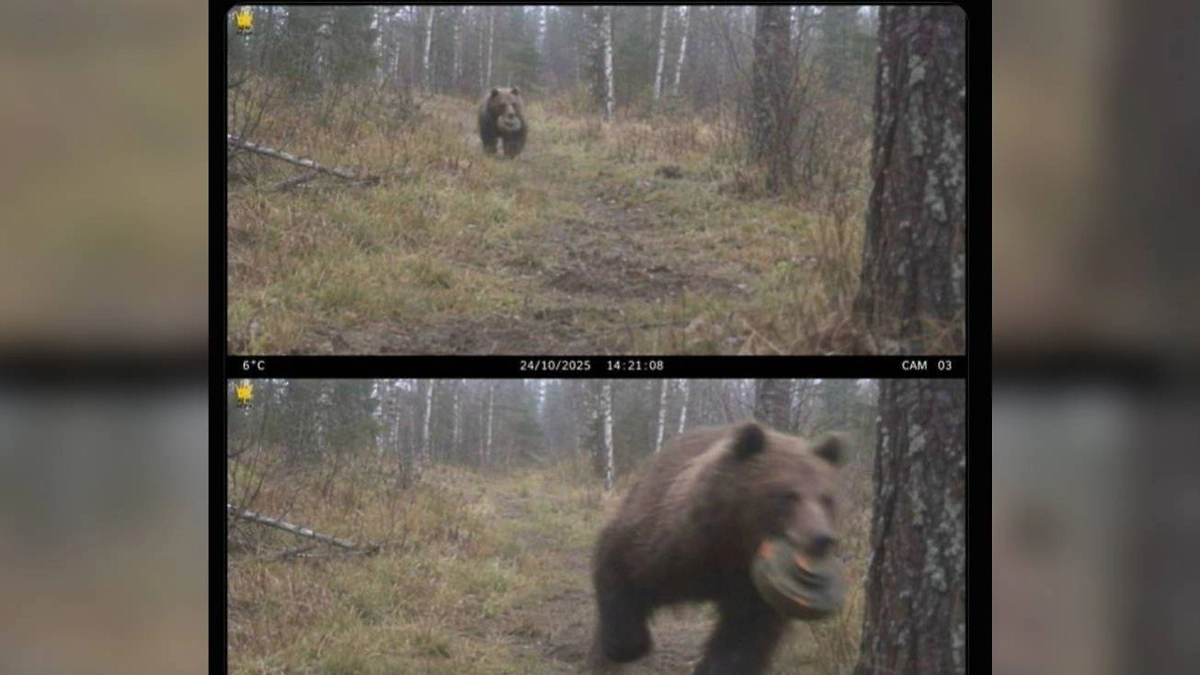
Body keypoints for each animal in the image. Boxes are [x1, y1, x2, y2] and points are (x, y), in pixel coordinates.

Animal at [590, 421, 848, 675]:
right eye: (788, 495)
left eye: (827, 498)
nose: (821, 538)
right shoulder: (669, 545)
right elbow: (619, 564)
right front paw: (628, 646)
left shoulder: (752, 588)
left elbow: (744, 636)